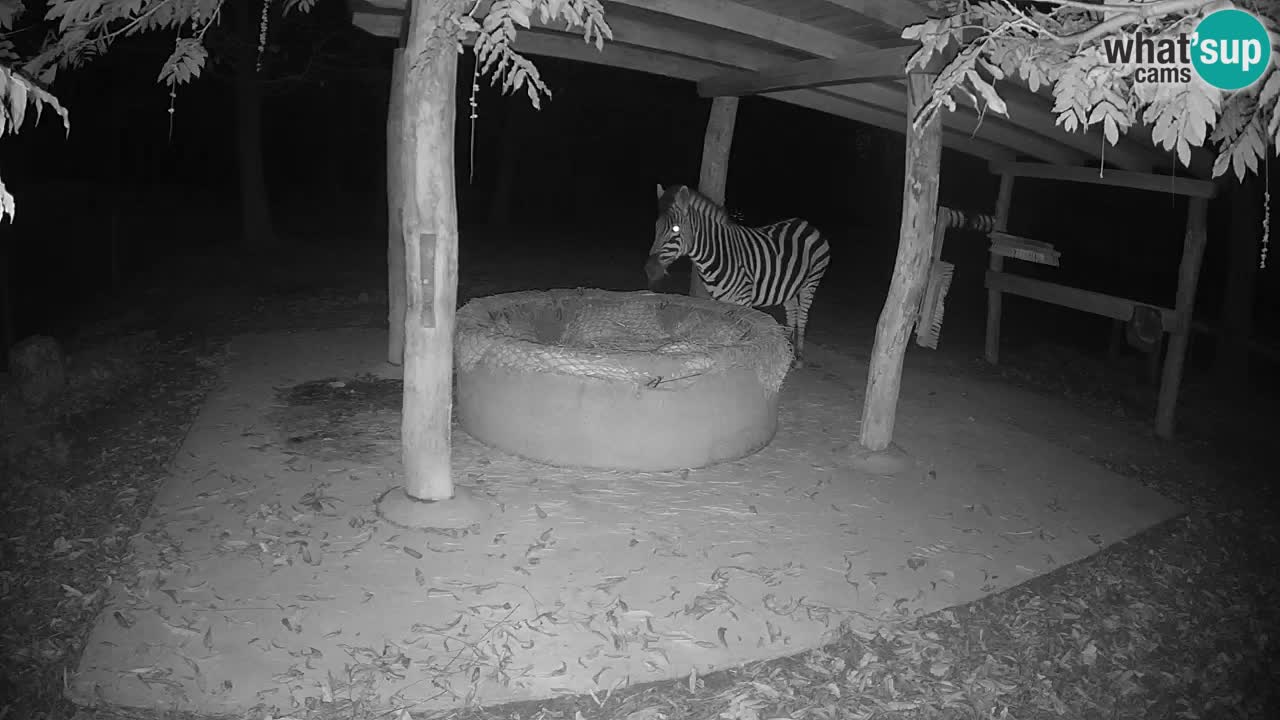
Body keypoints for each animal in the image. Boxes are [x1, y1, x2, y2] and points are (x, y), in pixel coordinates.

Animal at [645, 184, 831, 368]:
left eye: (675, 229)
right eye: (656, 227)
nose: (650, 270)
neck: (718, 255)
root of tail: (806, 223)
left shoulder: (744, 300)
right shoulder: (718, 300)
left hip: (811, 282)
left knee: (803, 316)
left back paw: (798, 356)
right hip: (788, 286)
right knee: (792, 311)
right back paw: (789, 350)